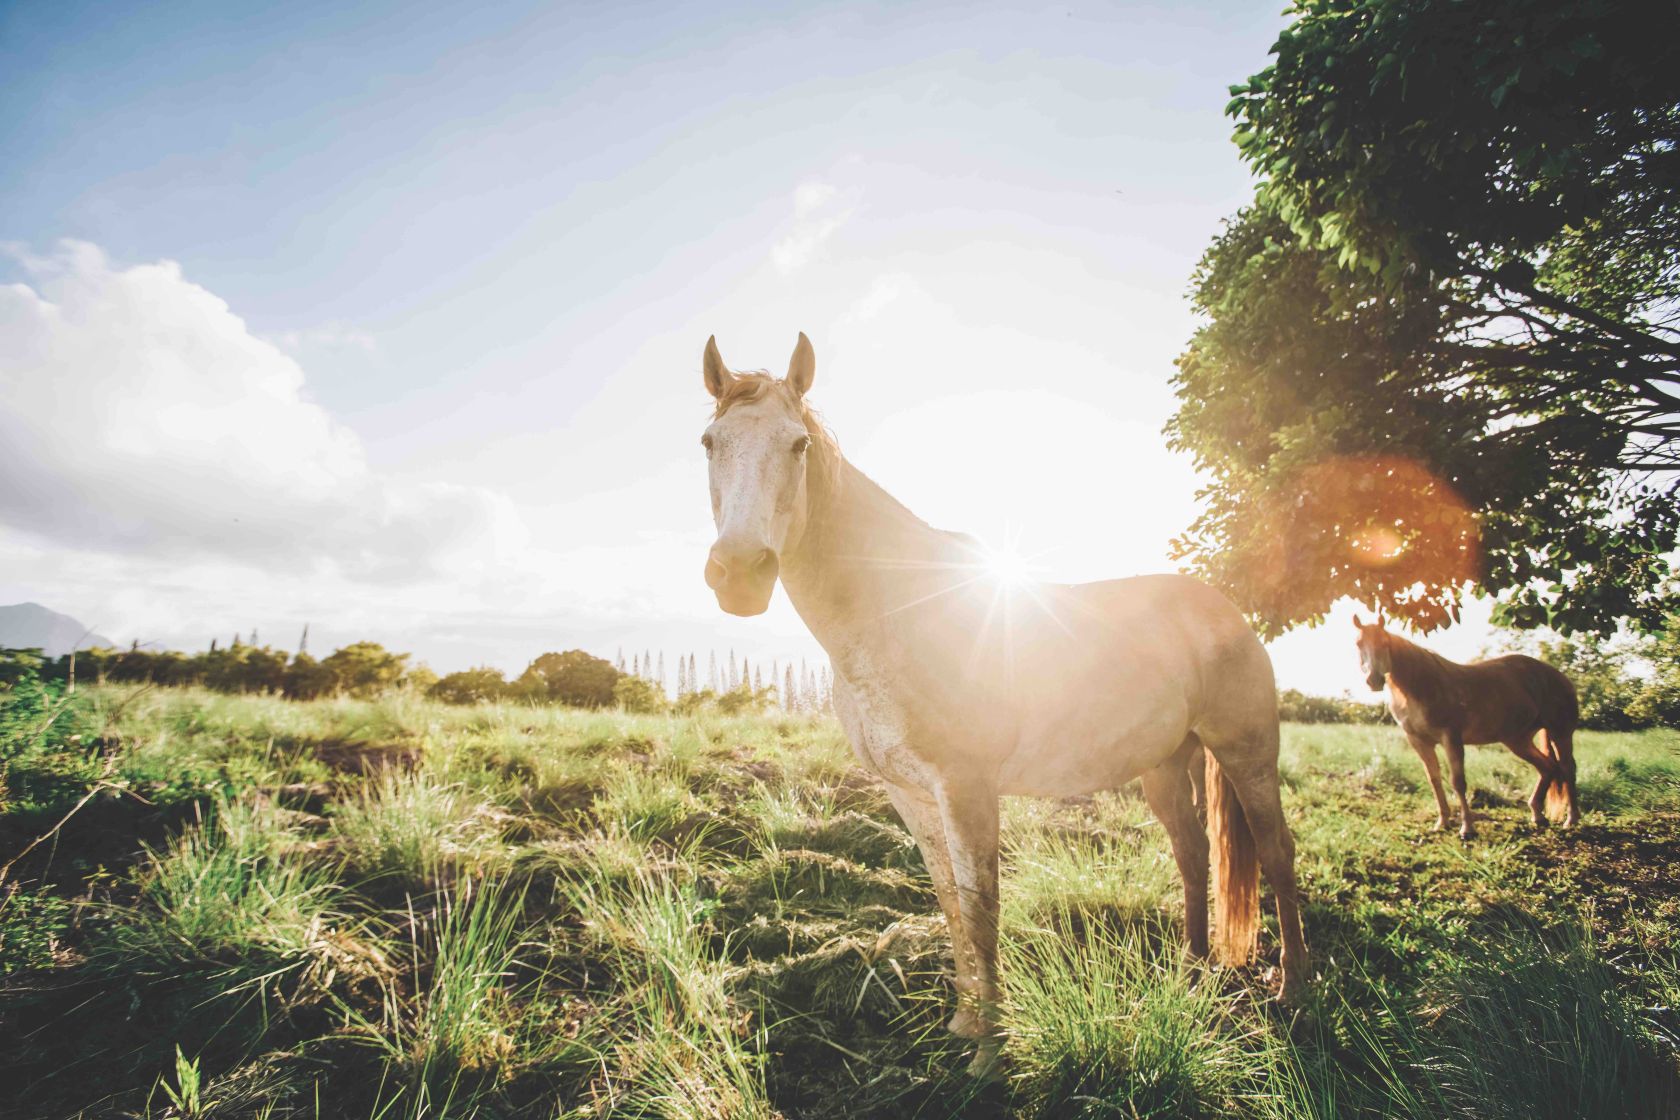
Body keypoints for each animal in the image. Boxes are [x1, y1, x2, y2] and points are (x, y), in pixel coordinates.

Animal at [696, 333, 1308, 1074]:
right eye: (709, 442)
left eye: (797, 446)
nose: (738, 573)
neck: (894, 611)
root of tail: (1227, 610)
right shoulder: (910, 793)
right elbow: (950, 902)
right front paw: (965, 1021)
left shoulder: (967, 787)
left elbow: (982, 903)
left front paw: (991, 1049)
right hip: (1165, 763)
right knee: (1193, 855)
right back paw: (1188, 975)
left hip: (1246, 752)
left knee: (1276, 851)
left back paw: (1294, 988)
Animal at [1353, 613, 1580, 838]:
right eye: (1358, 643)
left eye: (1384, 642)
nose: (1373, 680)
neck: (1421, 688)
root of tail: (1558, 676)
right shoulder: (1419, 741)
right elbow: (1434, 779)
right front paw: (1442, 822)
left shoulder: (1451, 738)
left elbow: (1457, 782)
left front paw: (1467, 828)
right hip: (1518, 740)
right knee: (1547, 768)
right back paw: (1537, 815)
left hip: (1560, 732)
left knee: (1567, 768)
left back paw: (1571, 819)